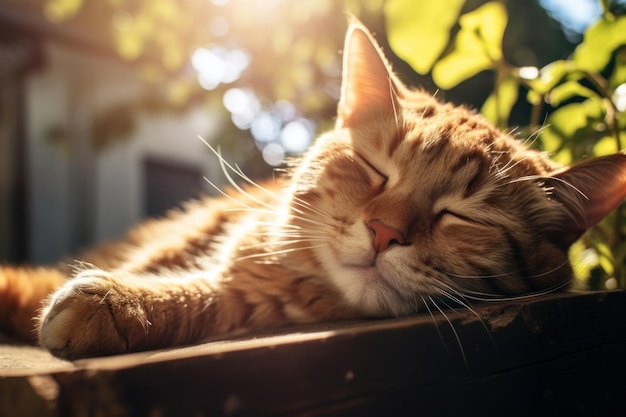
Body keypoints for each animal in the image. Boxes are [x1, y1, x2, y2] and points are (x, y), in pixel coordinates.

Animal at [3, 20, 624, 358]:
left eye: (463, 216)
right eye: (375, 169)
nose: (383, 232)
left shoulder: (242, 296)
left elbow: (198, 294)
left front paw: (121, 301)